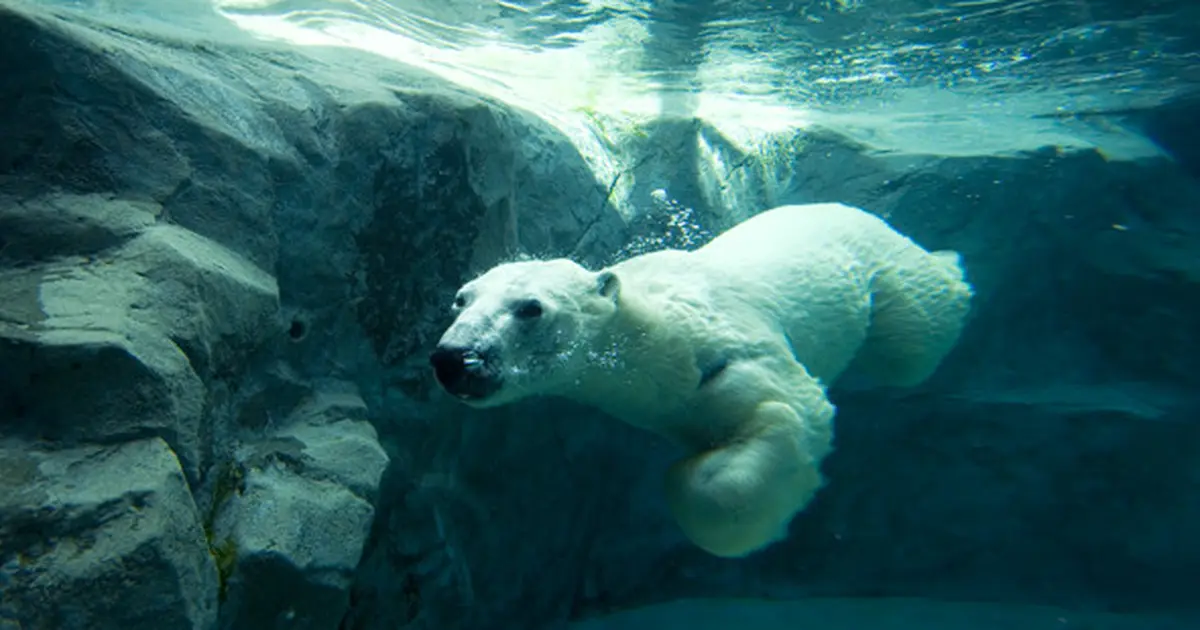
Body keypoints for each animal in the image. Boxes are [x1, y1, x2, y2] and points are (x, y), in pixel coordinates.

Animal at [427, 201, 969, 554]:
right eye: (460, 299)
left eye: (530, 308)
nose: (454, 358)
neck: (659, 336)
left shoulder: (728, 357)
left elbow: (787, 411)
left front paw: (697, 476)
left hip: (881, 271)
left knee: (912, 343)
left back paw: (951, 265)